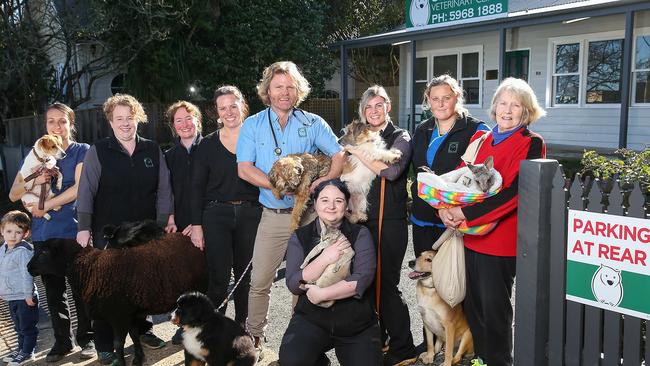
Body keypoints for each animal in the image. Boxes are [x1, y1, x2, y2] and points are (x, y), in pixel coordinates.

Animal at [27, 234, 205, 366]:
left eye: (44, 253)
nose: (28, 267)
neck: (91, 270)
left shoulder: (119, 316)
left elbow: (119, 343)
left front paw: (122, 362)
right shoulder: (130, 314)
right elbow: (134, 335)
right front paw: (138, 358)